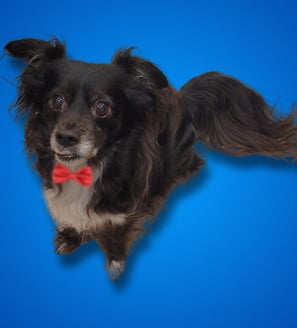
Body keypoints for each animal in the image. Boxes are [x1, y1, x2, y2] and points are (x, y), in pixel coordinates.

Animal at [5, 37, 296, 280]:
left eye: (102, 107)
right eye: (56, 100)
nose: (65, 137)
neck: (87, 166)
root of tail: (186, 101)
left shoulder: (126, 210)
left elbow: (116, 235)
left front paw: (115, 264)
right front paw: (70, 237)